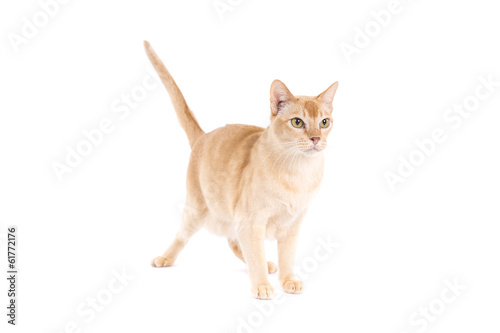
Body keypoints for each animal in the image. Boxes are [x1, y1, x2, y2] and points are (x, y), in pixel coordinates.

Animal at [146, 40, 340, 298]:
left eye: (324, 122)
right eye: (297, 122)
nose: (316, 138)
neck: (298, 173)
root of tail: (203, 136)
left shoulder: (292, 226)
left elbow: (286, 257)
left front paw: (288, 280)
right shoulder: (251, 222)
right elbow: (255, 253)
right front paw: (262, 286)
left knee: (234, 241)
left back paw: (268, 264)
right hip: (197, 210)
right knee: (184, 235)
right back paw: (165, 258)